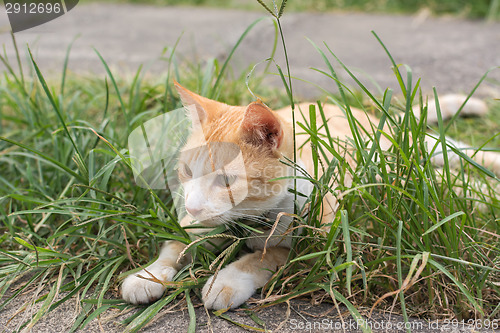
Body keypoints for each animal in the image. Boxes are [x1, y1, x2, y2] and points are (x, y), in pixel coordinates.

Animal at [122, 82, 500, 308]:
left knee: (451, 156)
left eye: (227, 180)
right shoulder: (195, 223)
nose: (193, 205)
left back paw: (487, 183)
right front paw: (147, 275)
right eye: (187, 171)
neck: (254, 219)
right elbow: (177, 243)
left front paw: (227, 279)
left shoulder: (320, 243)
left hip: (405, 152)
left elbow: (266, 257)